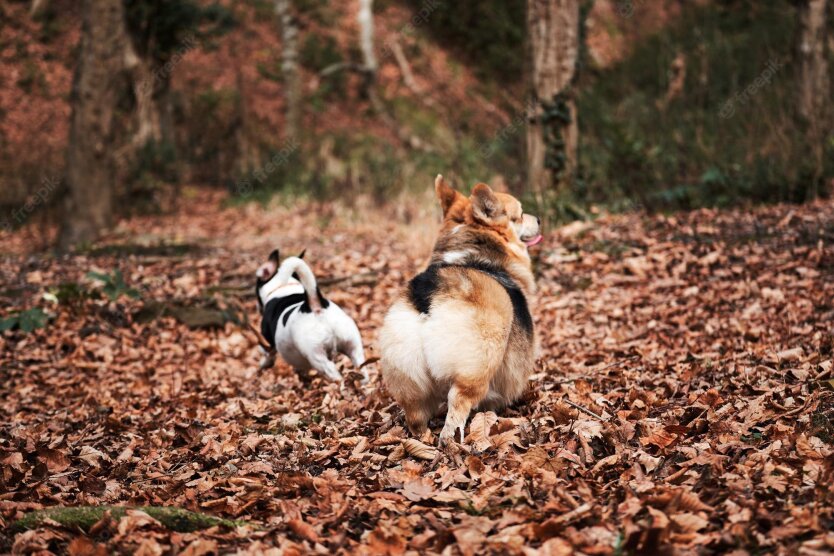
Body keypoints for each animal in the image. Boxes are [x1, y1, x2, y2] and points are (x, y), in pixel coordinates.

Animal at [255, 251, 366, 384]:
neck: (283, 287)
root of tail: (315, 305)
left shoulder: (267, 343)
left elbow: (267, 353)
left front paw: (263, 364)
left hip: (316, 355)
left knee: (332, 371)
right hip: (353, 348)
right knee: (362, 369)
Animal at [376, 176, 540, 446]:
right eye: (519, 214)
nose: (539, 219)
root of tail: (428, 292)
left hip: (407, 378)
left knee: (416, 415)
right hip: (476, 367)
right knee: (458, 405)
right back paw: (452, 441)